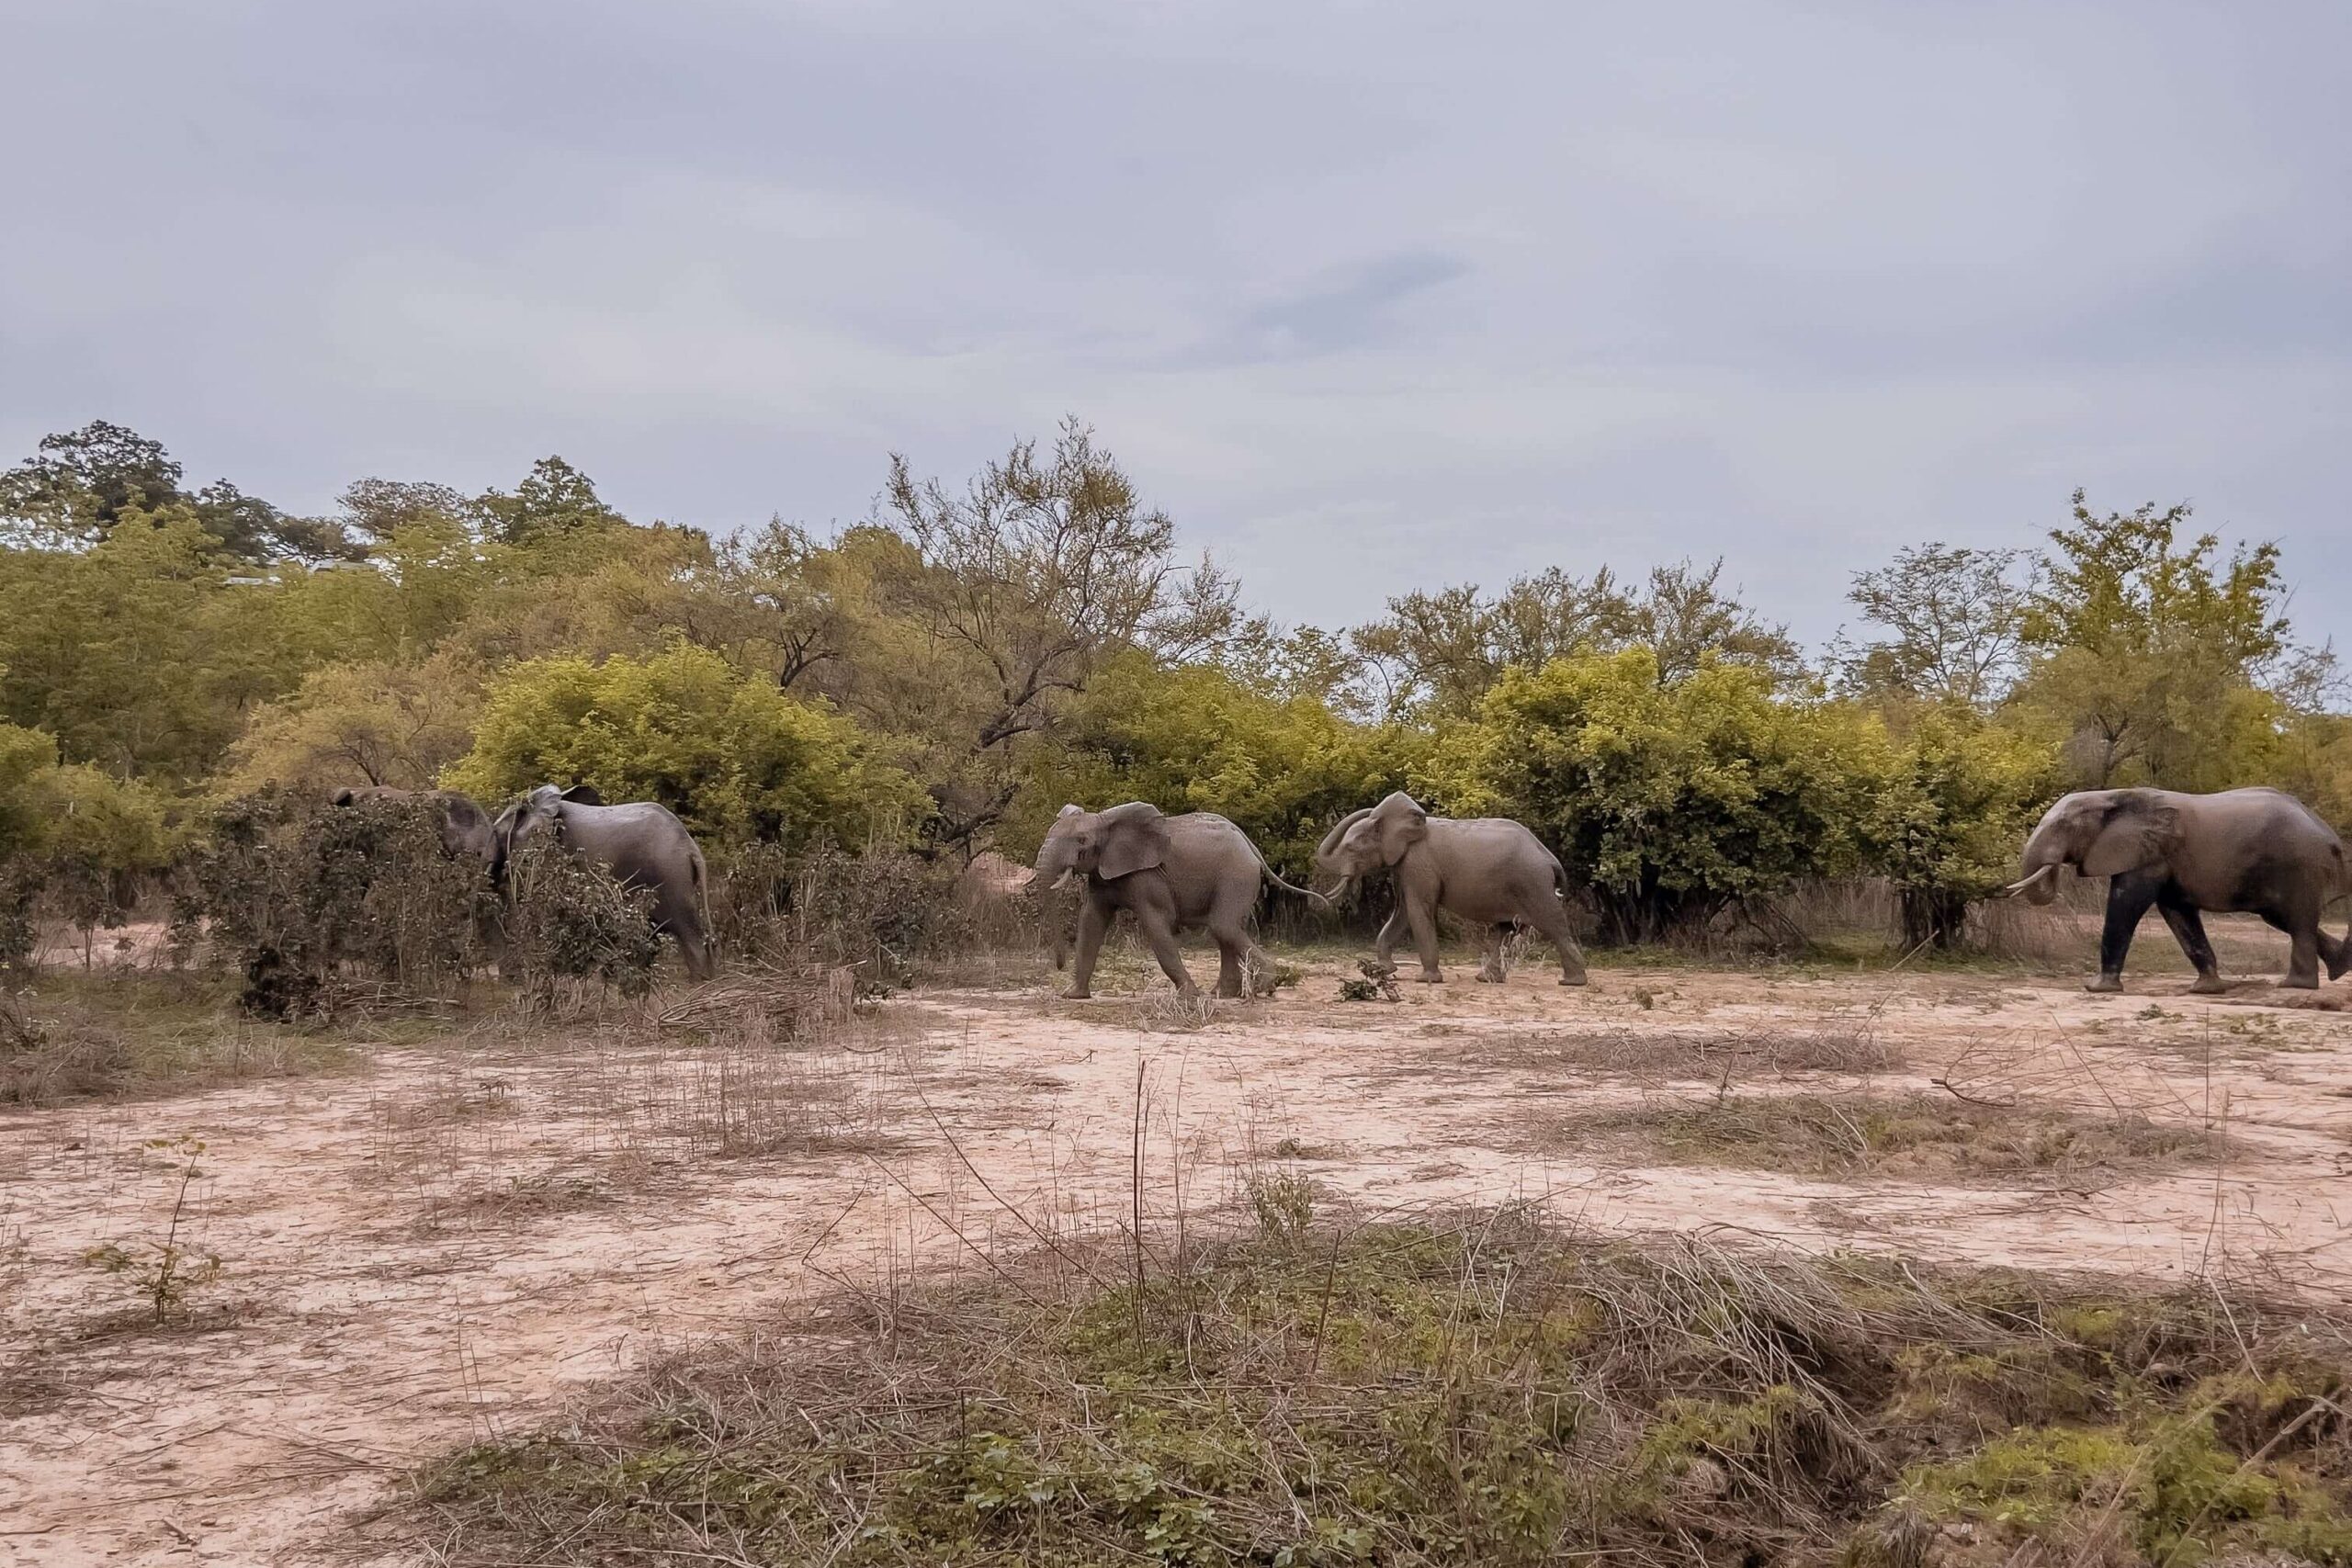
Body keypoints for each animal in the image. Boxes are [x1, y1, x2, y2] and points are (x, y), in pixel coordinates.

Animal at [1029, 802, 1325, 1000]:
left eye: (1082, 841)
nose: (1058, 965)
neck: (1106, 821)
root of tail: (1248, 843)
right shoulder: (1102, 874)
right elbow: (1090, 923)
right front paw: (1073, 995)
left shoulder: (1148, 877)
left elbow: (1156, 925)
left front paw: (1187, 996)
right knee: (1224, 930)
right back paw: (1223, 994)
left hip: (1236, 874)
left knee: (1223, 926)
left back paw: (1263, 989)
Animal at [1315, 790, 1588, 986]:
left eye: (1351, 848)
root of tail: (1549, 857)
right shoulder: (1404, 866)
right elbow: (1401, 912)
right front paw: (1383, 970)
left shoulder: (1418, 863)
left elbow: (1417, 910)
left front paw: (1426, 980)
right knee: (1508, 930)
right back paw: (1488, 979)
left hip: (1533, 883)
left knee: (1553, 925)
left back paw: (1572, 982)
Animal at [2003, 786, 2352, 993]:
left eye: (2064, 827)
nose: (2055, 865)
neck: (2111, 796)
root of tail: (2330, 836)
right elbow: (2177, 913)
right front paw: (2207, 989)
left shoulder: (2149, 853)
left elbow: (2126, 904)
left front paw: (2097, 988)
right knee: (2284, 918)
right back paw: (2338, 968)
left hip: (2298, 866)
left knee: (2296, 920)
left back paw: (2295, 986)